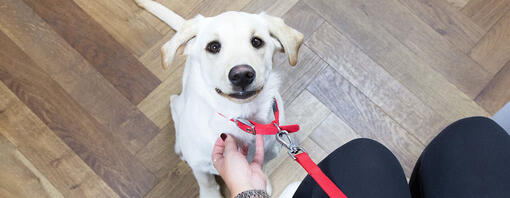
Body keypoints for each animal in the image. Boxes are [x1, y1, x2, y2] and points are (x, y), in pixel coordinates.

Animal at [135, 1, 302, 196]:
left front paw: (262, 182)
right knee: (174, 104)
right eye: (213, 46)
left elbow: (261, 166)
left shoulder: (269, 153)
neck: (242, 118)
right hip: (181, 104)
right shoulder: (200, 165)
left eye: (257, 41)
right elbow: (206, 181)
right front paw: (210, 194)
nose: (242, 75)